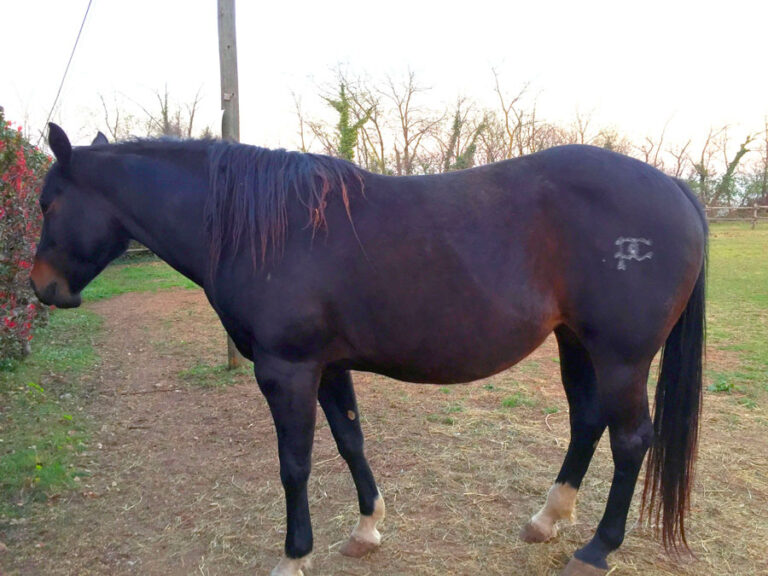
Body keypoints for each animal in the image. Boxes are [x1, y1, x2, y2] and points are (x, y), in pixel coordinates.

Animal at [31, 124, 707, 576]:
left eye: (48, 202)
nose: (42, 287)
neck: (266, 230)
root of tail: (674, 186)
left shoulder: (286, 370)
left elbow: (295, 464)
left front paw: (293, 557)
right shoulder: (327, 367)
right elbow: (350, 440)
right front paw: (366, 530)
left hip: (621, 358)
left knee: (630, 441)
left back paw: (597, 549)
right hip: (577, 345)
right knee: (587, 422)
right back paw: (548, 519)